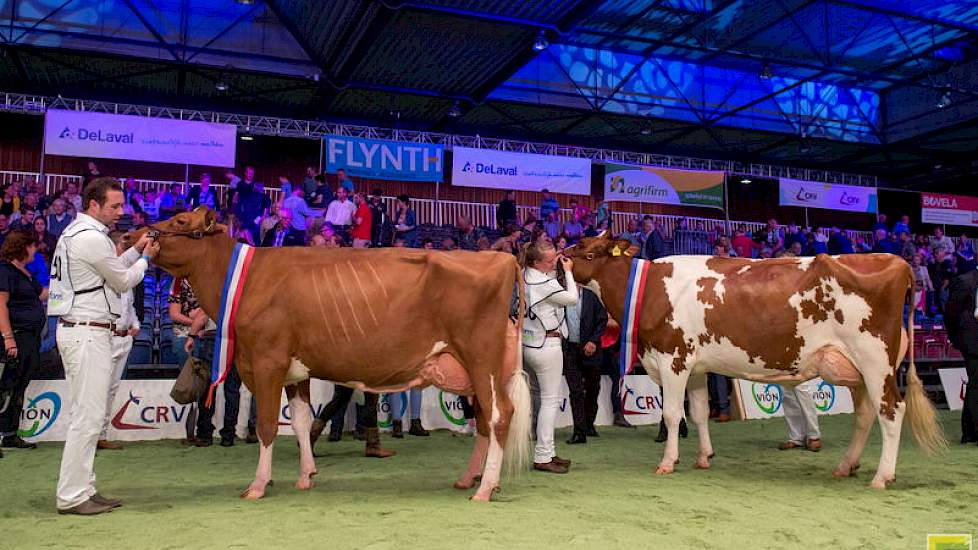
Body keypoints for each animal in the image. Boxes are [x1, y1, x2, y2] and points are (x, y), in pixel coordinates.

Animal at [132, 209, 528, 502]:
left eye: (181, 222)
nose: (136, 233)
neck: (248, 278)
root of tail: (503, 259)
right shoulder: (295, 370)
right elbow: (301, 421)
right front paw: (305, 476)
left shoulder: (267, 361)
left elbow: (267, 425)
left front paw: (258, 485)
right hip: (475, 370)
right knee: (483, 421)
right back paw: (470, 479)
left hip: (482, 359)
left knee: (499, 416)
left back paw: (484, 488)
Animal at [568, 235, 940, 490]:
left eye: (588, 252)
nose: (560, 259)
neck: (651, 288)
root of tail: (898, 262)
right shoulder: (697, 366)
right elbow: (699, 413)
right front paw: (704, 457)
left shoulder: (673, 358)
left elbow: (673, 414)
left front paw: (668, 462)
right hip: (856, 369)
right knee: (865, 415)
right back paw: (846, 466)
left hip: (876, 362)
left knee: (891, 411)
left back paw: (881, 476)